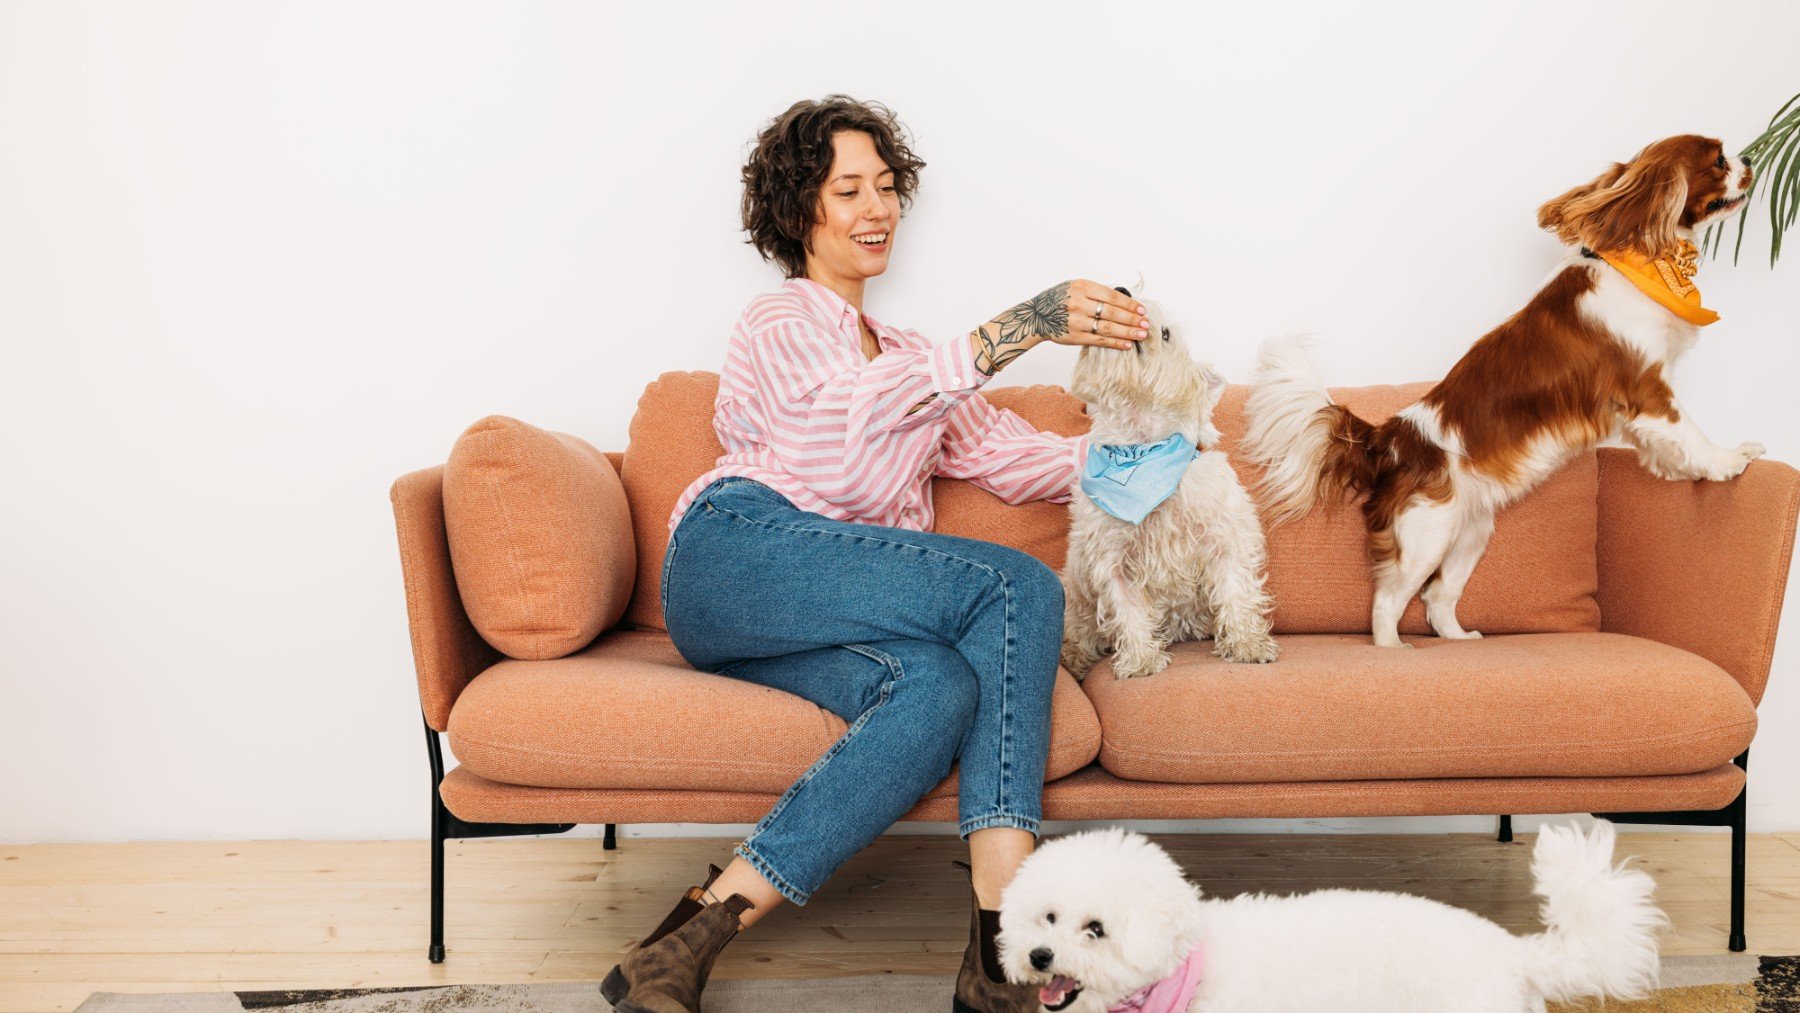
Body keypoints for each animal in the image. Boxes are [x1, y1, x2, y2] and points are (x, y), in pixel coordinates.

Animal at [1051, 289, 1281, 676]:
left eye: (1166, 334)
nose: (1122, 290)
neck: (1140, 450)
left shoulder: (1224, 539)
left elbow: (1236, 590)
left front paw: (1248, 644)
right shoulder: (1113, 558)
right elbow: (1127, 608)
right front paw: (1141, 659)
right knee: (1079, 629)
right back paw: (1074, 657)